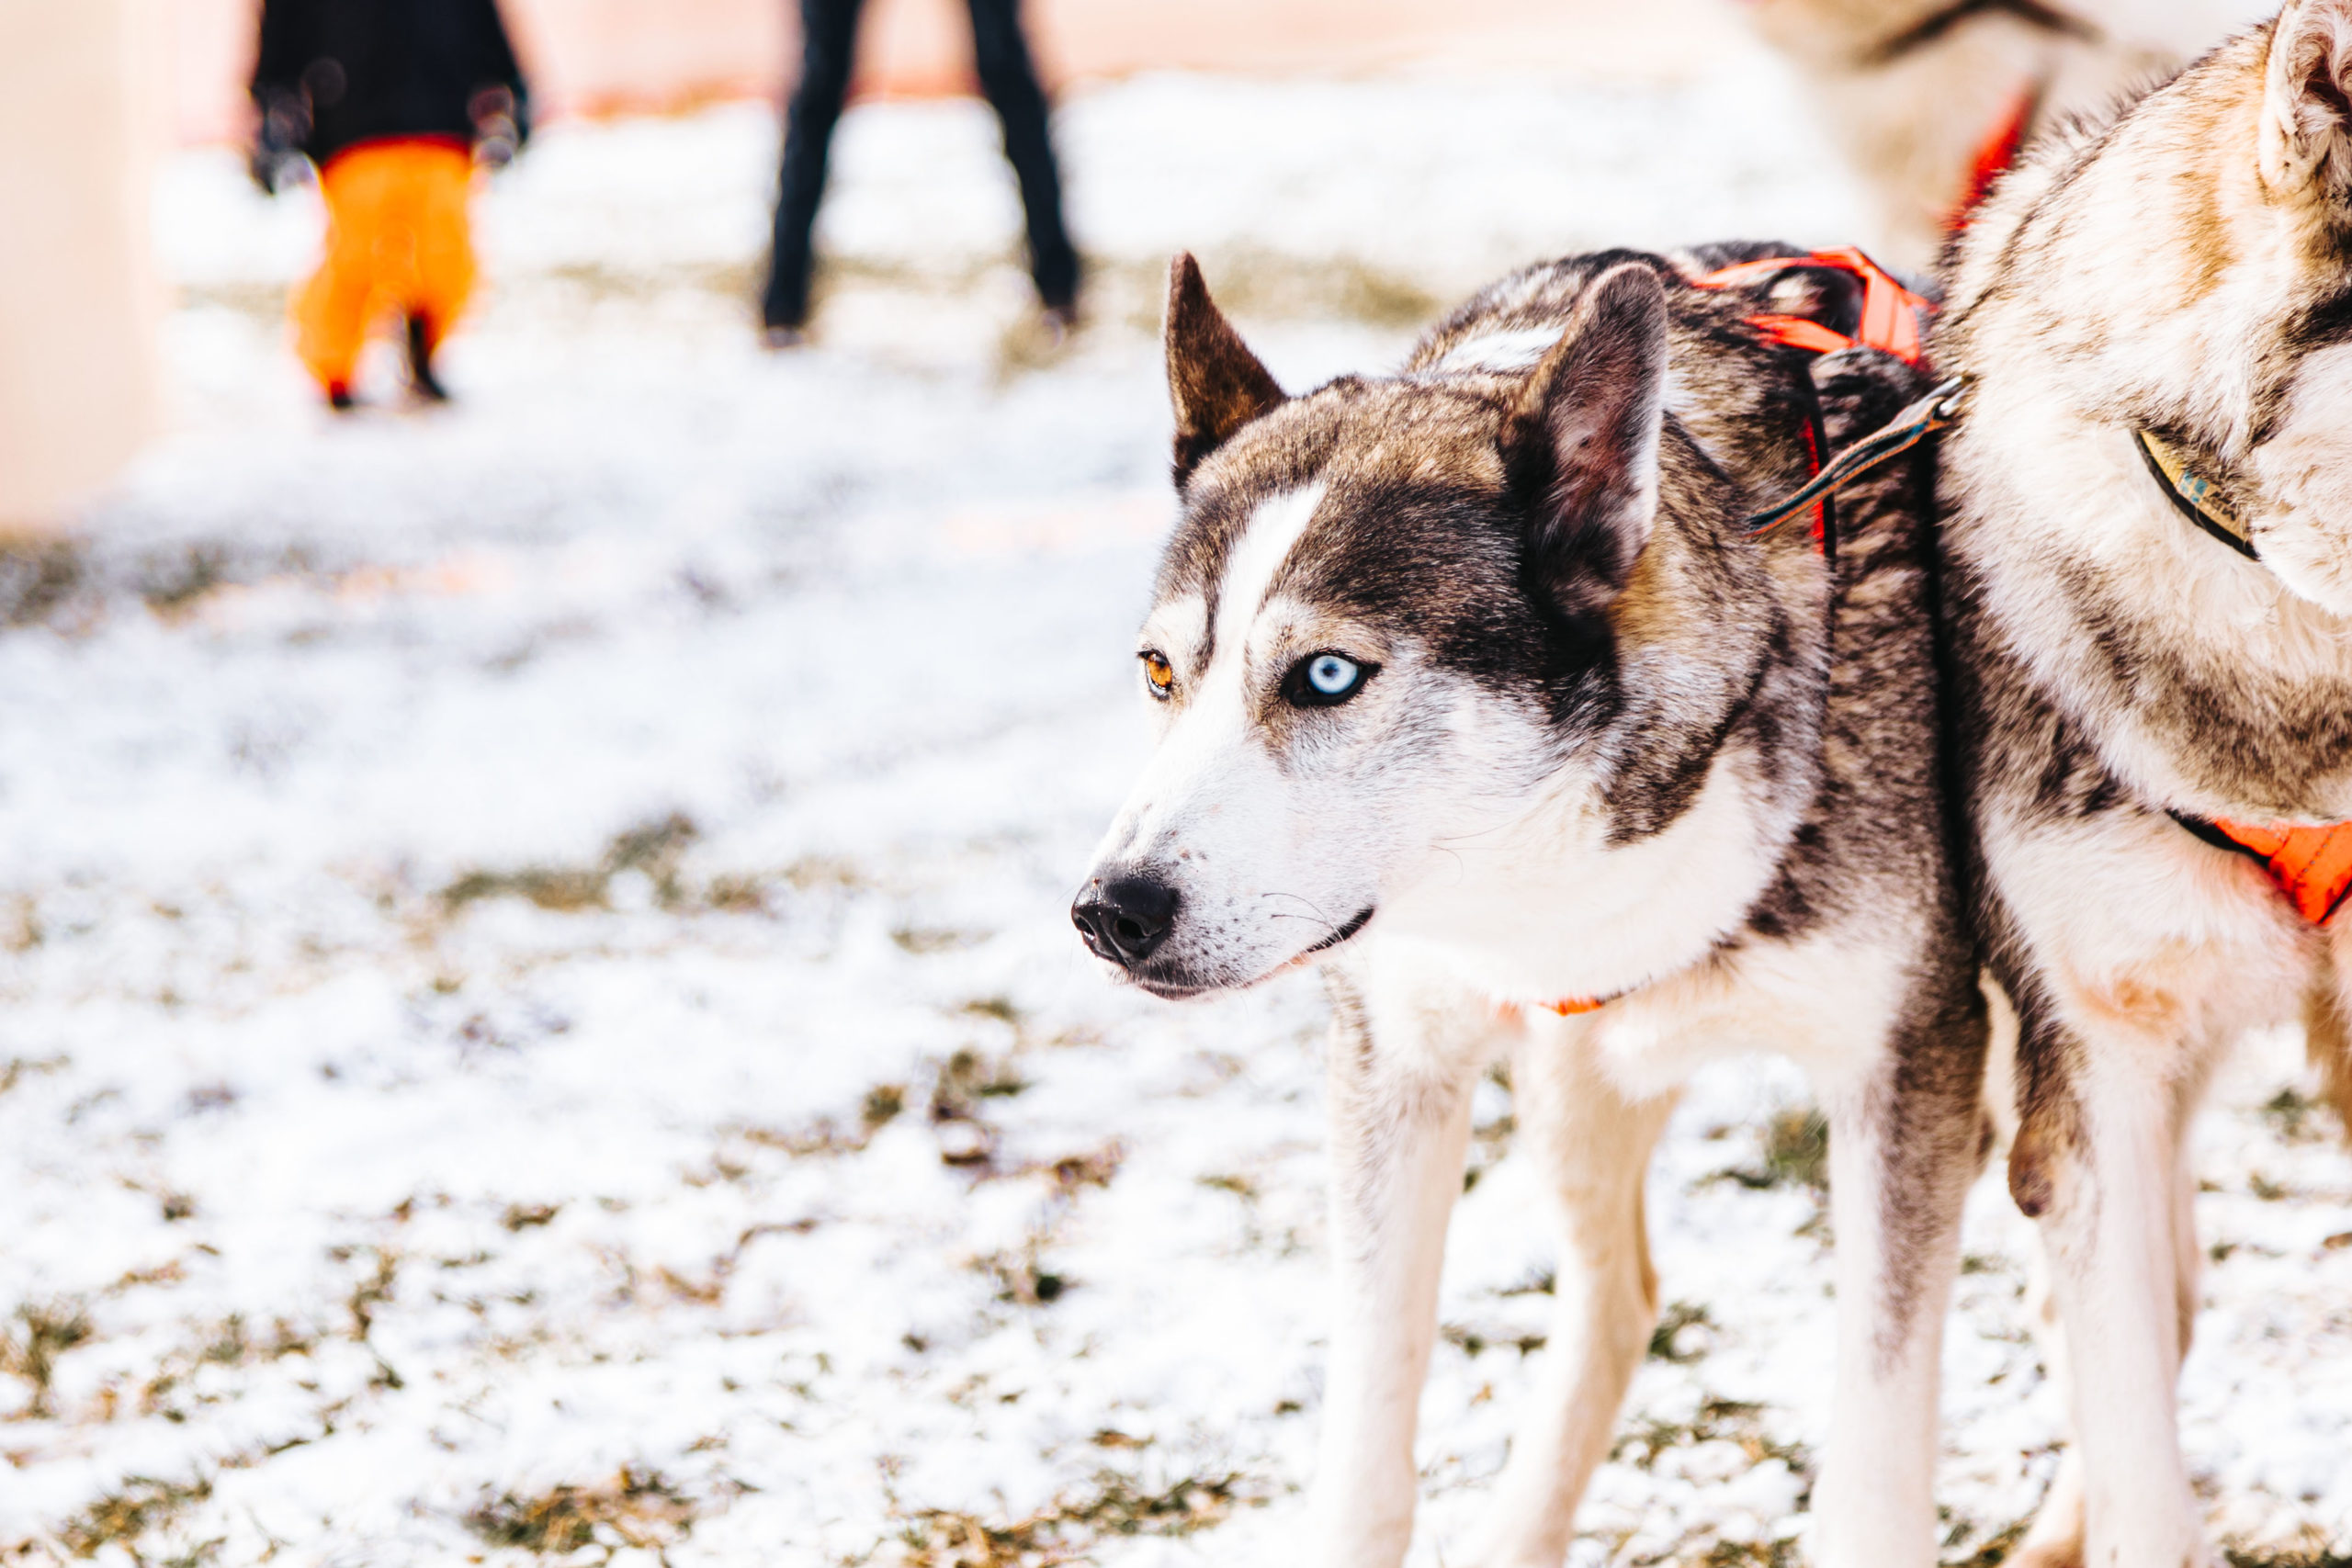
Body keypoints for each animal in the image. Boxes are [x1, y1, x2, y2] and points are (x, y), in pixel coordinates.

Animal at [1072, 249, 1987, 1567]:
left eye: (1327, 674)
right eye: (1158, 672)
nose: (1110, 912)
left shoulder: (1907, 1072)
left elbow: (1873, 1468)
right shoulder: (1395, 1065)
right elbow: (1367, 1445)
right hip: (1571, 1088)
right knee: (1622, 1299)